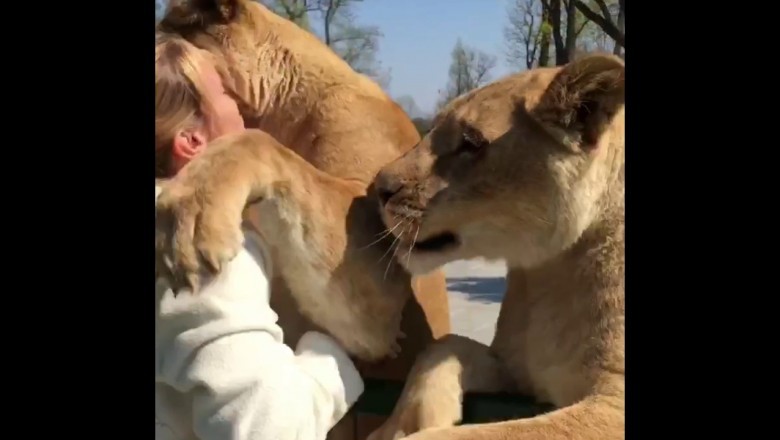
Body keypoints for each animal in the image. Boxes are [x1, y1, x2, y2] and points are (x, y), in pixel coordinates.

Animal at [362, 52, 624, 440]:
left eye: (471, 143)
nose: (378, 188)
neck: (546, 275)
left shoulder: (613, 403)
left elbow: (492, 433)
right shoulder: (515, 372)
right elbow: (445, 345)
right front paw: (400, 424)